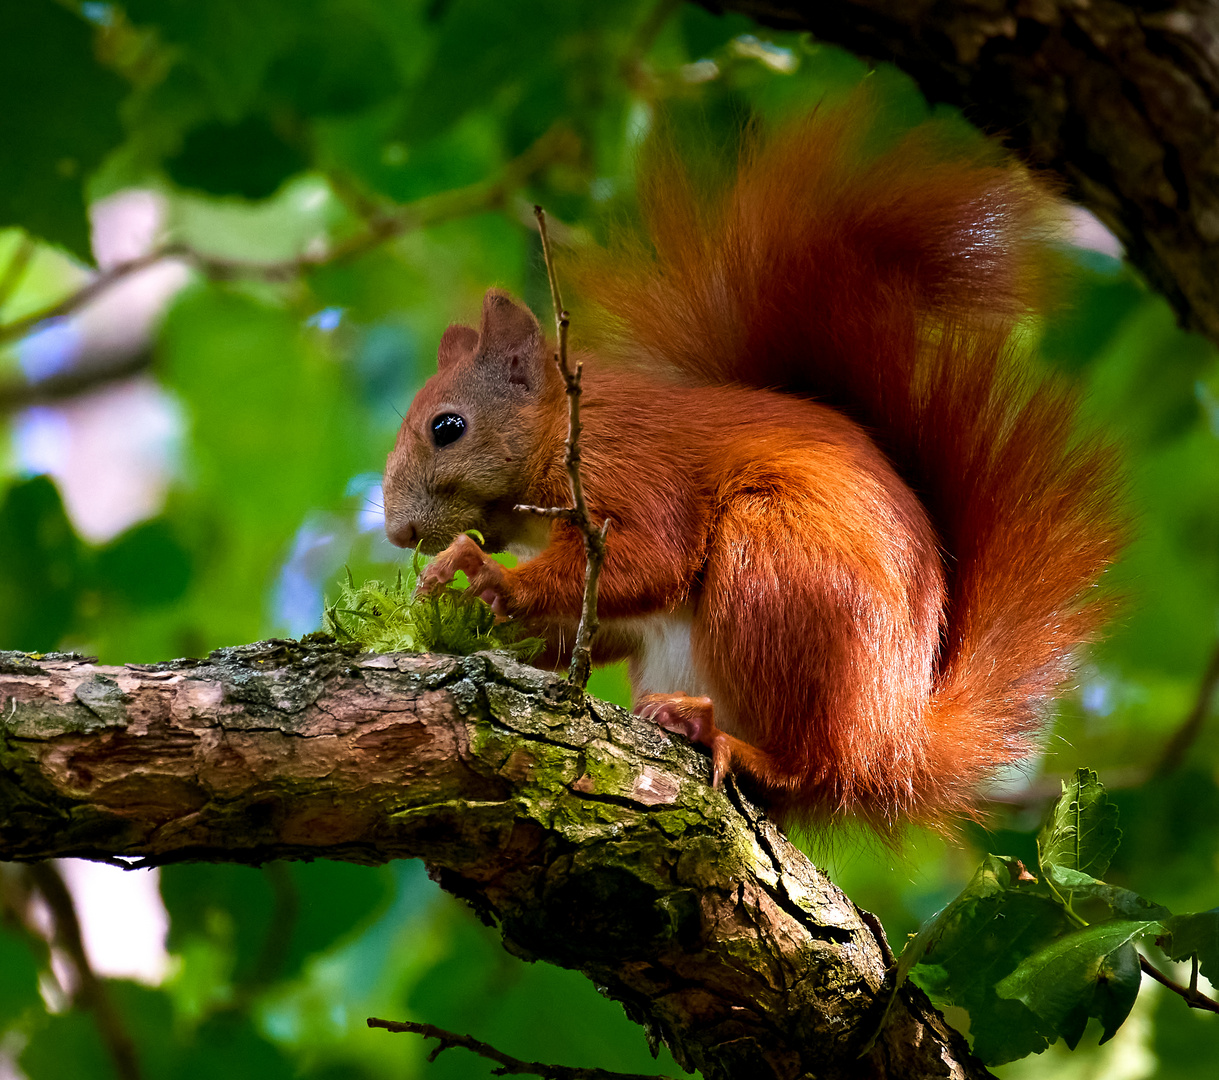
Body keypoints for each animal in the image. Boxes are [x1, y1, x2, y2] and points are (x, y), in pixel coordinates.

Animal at [380, 105, 1121, 833]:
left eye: (447, 428)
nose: (396, 533)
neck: (557, 429)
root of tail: (897, 744)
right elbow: (598, 622)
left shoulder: (629, 464)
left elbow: (653, 558)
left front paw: (482, 574)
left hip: (779, 571)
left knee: (815, 767)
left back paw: (729, 743)